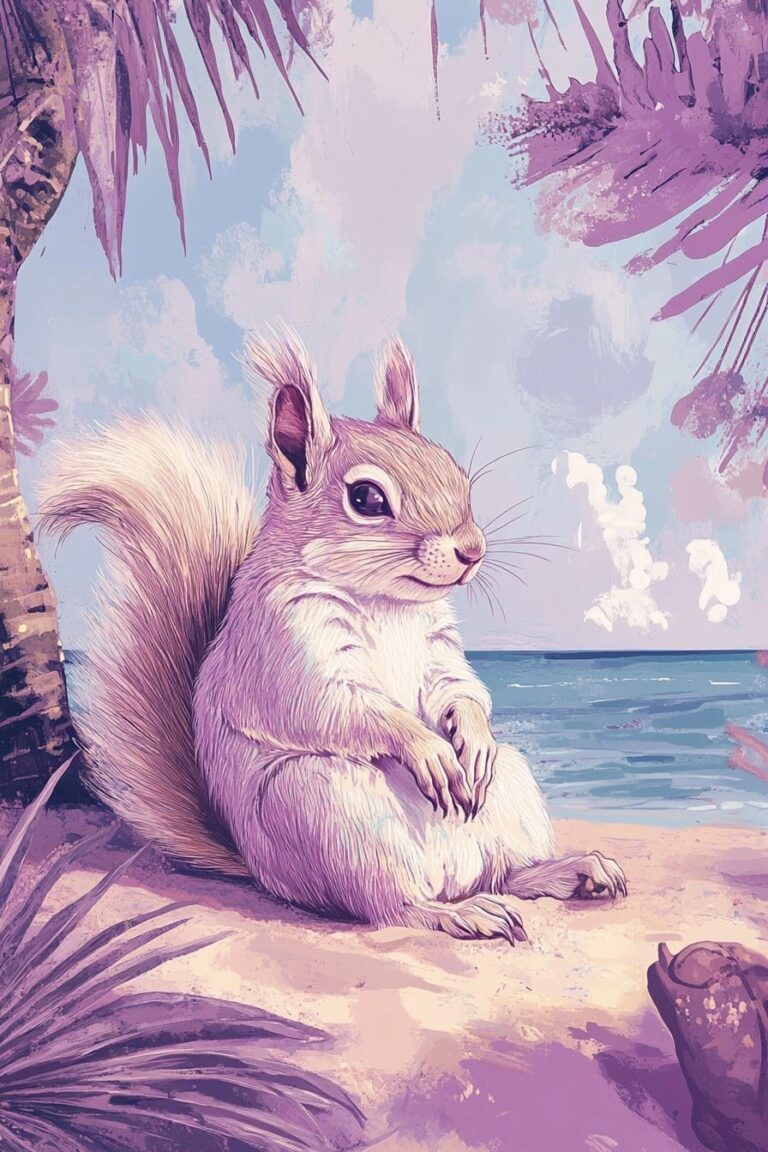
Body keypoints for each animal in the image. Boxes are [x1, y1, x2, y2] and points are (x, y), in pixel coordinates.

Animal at [39, 328, 626, 944]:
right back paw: (460, 912)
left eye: (457, 475)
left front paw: (470, 733)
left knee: (506, 870)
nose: (472, 550)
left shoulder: (437, 645)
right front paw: (425, 748)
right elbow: (332, 703)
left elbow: (455, 686)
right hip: (328, 811)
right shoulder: (283, 643)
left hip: (508, 788)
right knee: (393, 904)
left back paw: (572, 870)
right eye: (367, 498)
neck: (385, 602)